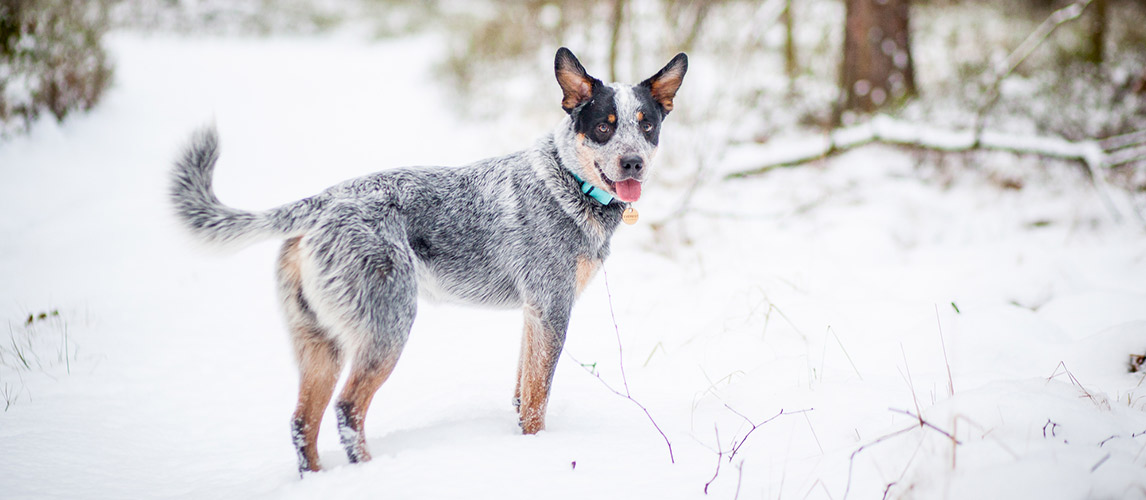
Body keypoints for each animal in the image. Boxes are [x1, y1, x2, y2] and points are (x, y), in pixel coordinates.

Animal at [170, 47, 687, 472]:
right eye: (603, 125)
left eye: (646, 124)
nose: (633, 163)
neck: (566, 181)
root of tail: (320, 203)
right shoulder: (552, 309)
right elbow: (538, 399)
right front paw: (539, 452)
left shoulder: (533, 313)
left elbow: (523, 392)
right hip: (390, 324)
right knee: (347, 410)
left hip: (320, 344)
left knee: (302, 423)